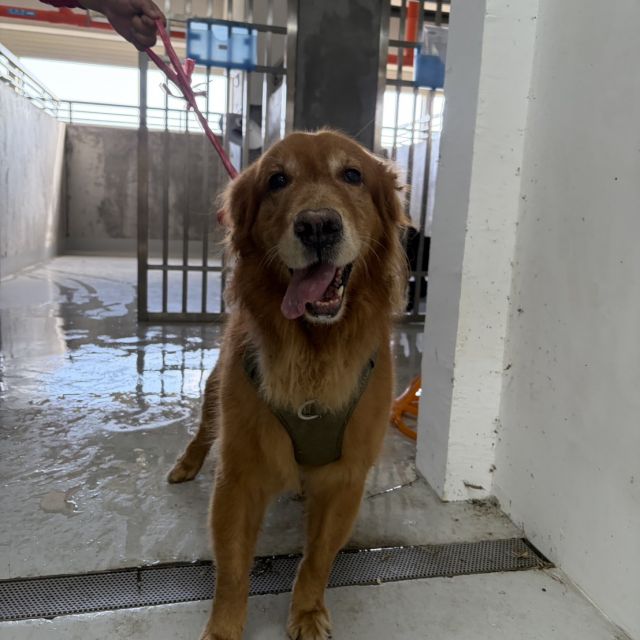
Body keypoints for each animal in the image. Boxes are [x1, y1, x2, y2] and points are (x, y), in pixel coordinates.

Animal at [168, 130, 408, 640]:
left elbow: (317, 559)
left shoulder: (345, 477)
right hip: (215, 392)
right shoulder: (238, 476)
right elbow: (232, 569)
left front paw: (307, 612)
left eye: (352, 174)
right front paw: (224, 629)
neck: (314, 348)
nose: (318, 226)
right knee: (203, 432)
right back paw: (185, 465)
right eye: (277, 180)